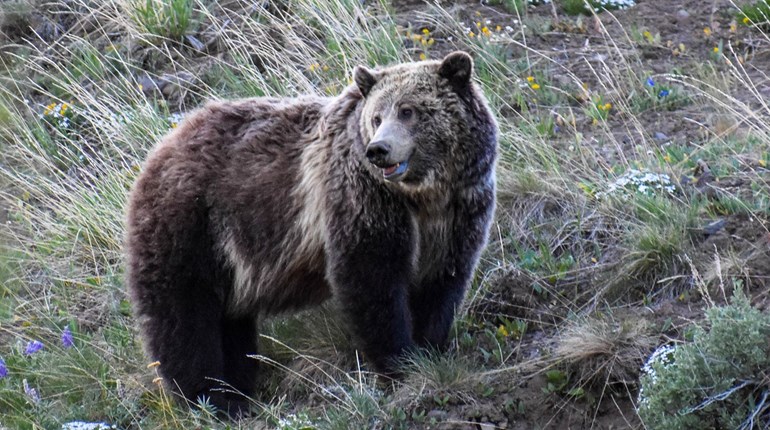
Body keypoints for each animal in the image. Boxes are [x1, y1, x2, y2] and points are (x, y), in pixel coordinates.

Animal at [124, 51, 498, 416]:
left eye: (409, 110)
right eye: (377, 117)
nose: (379, 149)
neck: (424, 195)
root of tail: (161, 146)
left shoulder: (460, 213)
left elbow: (443, 285)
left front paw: (431, 350)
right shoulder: (364, 199)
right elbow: (372, 279)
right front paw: (400, 363)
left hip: (228, 258)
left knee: (229, 321)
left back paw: (238, 386)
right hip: (190, 225)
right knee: (184, 316)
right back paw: (212, 397)